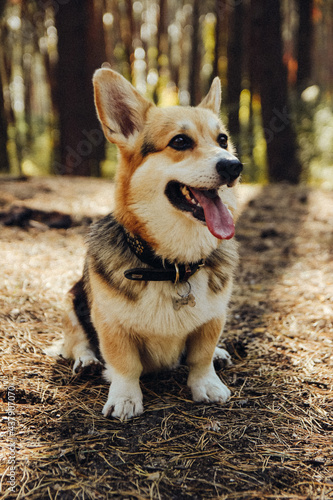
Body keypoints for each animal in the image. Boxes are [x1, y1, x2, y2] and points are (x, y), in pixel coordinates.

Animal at [60, 68, 241, 420]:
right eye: (180, 141)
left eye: (223, 140)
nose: (233, 166)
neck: (171, 265)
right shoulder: (111, 325)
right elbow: (124, 365)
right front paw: (125, 398)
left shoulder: (213, 318)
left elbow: (201, 356)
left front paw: (207, 383)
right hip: (70, 301)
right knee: (76, 341)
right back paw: (87, 361)